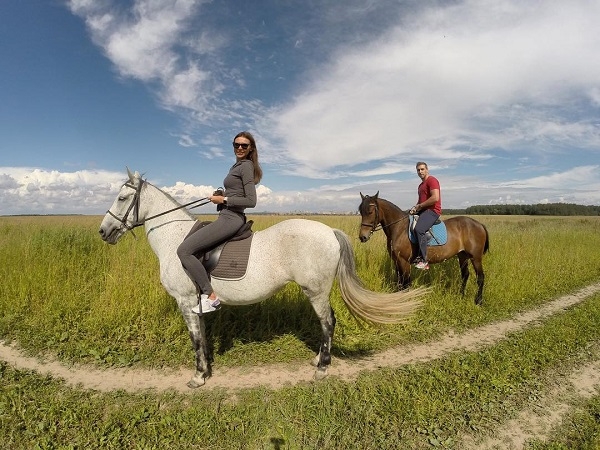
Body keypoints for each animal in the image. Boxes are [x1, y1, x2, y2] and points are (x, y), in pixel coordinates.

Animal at [99, 169, 426, 386]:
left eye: (122, 197)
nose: (103, 231)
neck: (174, 237)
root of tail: (329, 231)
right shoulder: (194, 302)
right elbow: (202, 335)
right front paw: (206, 369)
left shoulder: (185, 300)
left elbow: (195, 338)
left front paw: (198, 376)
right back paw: (318, 360)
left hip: (316, 291)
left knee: (328, 322)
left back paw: (322, 367)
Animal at [358, 192, 490, 304]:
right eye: (361, 211)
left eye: (370, 212)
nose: (362, 237)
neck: (399, 228)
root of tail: (479, 224)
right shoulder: (396, 261)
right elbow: (400, 282)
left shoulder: (404, 261)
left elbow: (406, 282)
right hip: (462, 256)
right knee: (465, 275)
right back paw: (461, 295)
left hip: (476, 258)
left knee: (480, 278)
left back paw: (479, 301)